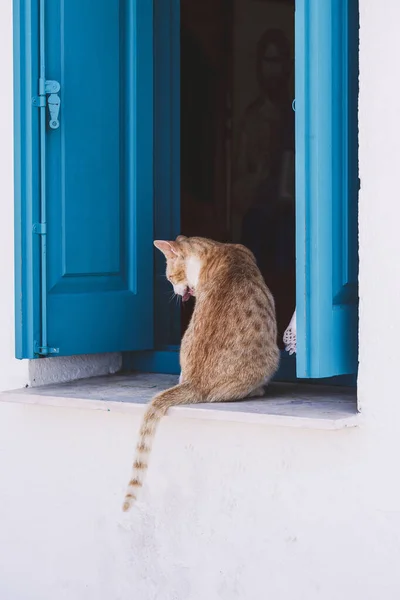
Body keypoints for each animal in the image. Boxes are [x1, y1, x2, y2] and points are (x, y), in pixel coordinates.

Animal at [122, 236, 278, 510]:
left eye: (170, 276)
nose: (175, 292)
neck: (218, 249)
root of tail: (195, 382)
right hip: (272, 358)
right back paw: (259, 389)